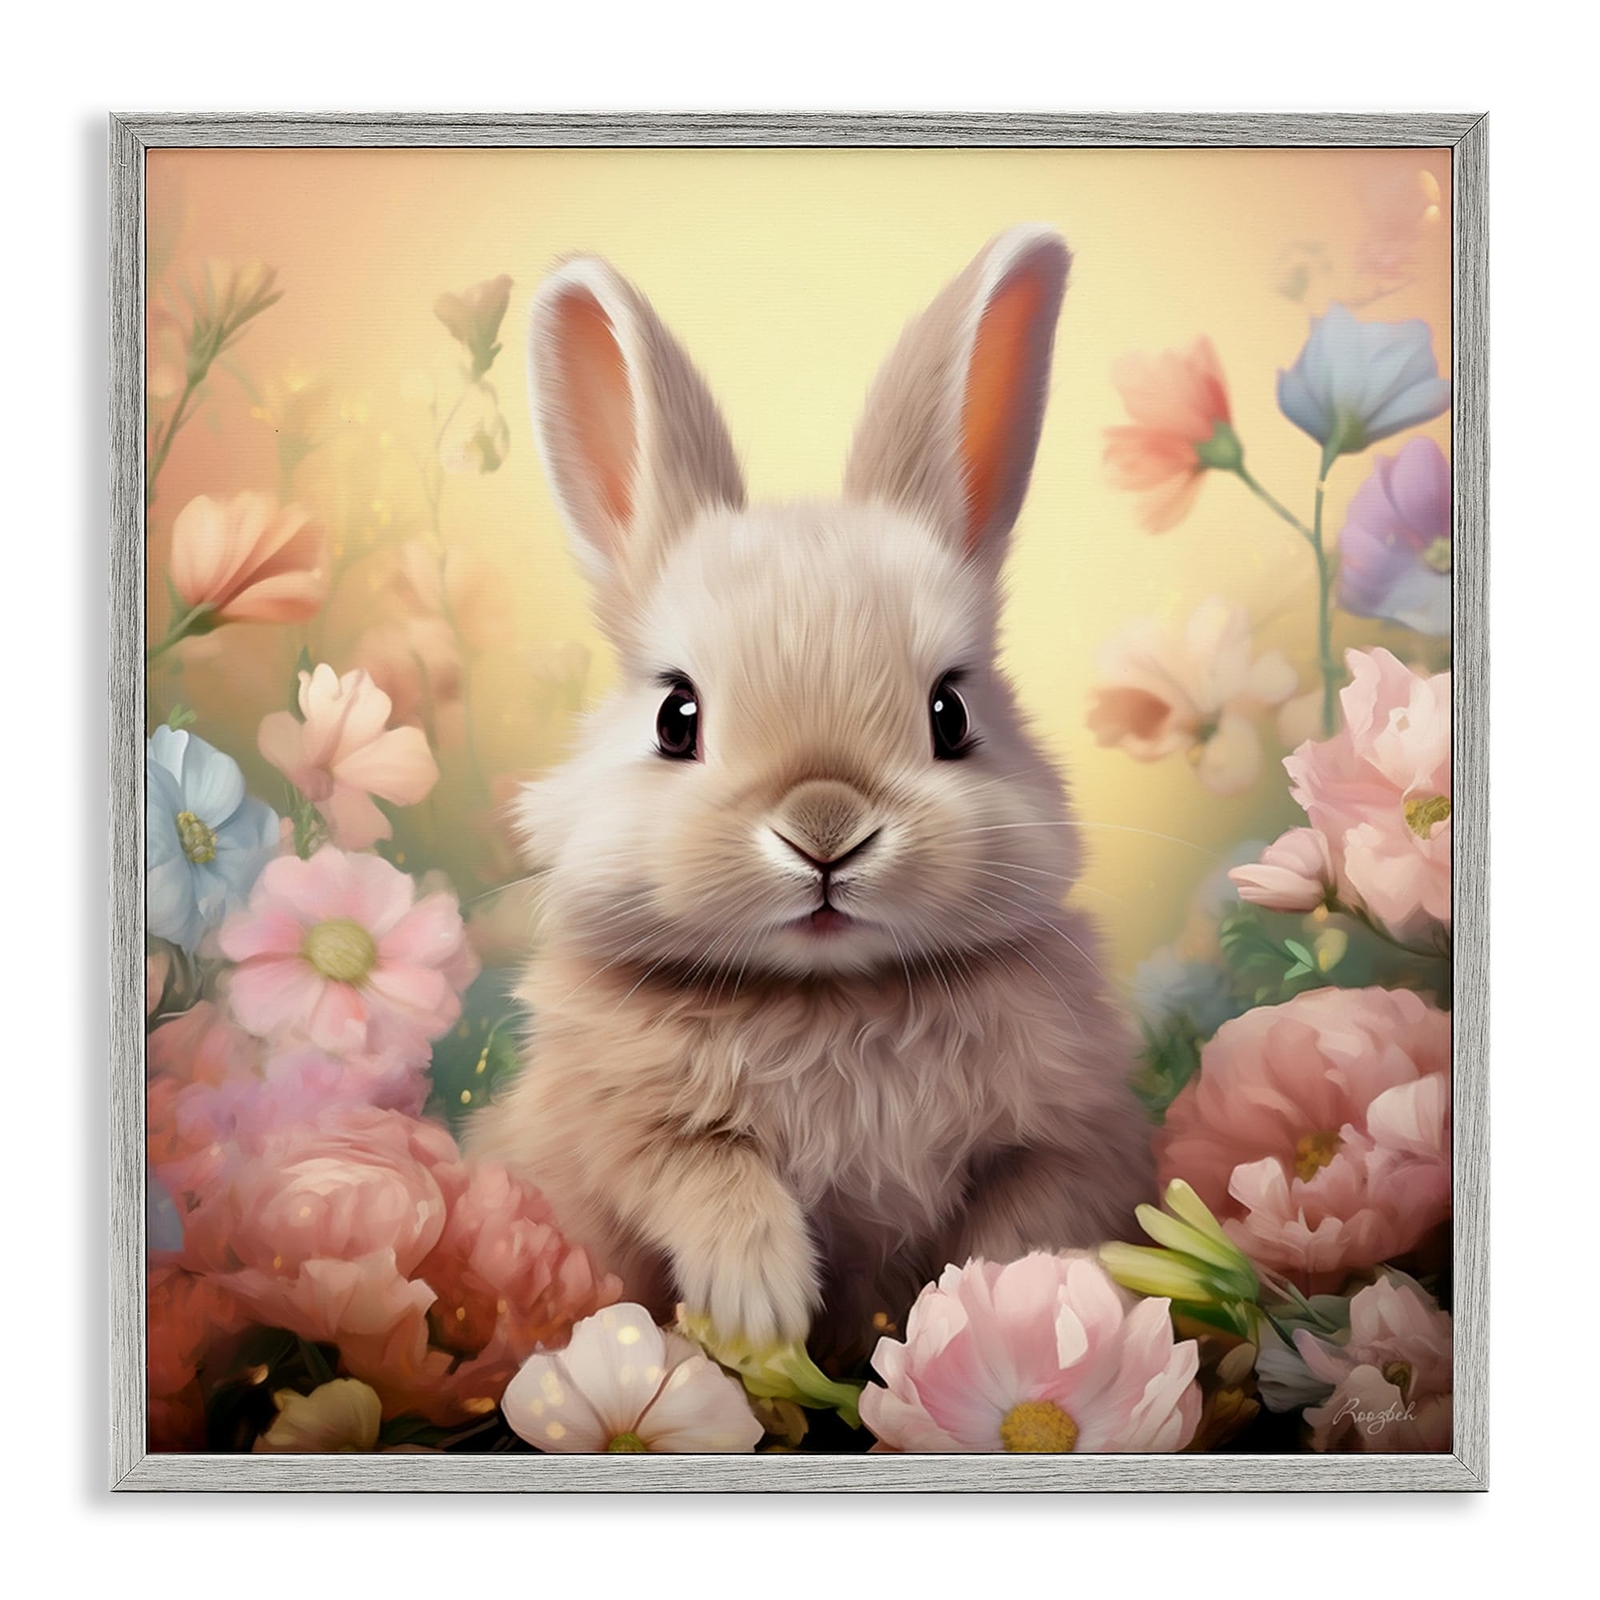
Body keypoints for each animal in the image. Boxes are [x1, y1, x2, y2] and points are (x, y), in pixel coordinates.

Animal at [468, 225, 1156, 1364]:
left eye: (949, 714)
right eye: (676, 718)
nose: (824, 831)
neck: (830, 997)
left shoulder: (1072, 1138)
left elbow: (1021, 1221)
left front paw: (987, 1307)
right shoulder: (610, 1125)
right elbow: (703, 1170)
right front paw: (761, 1305)